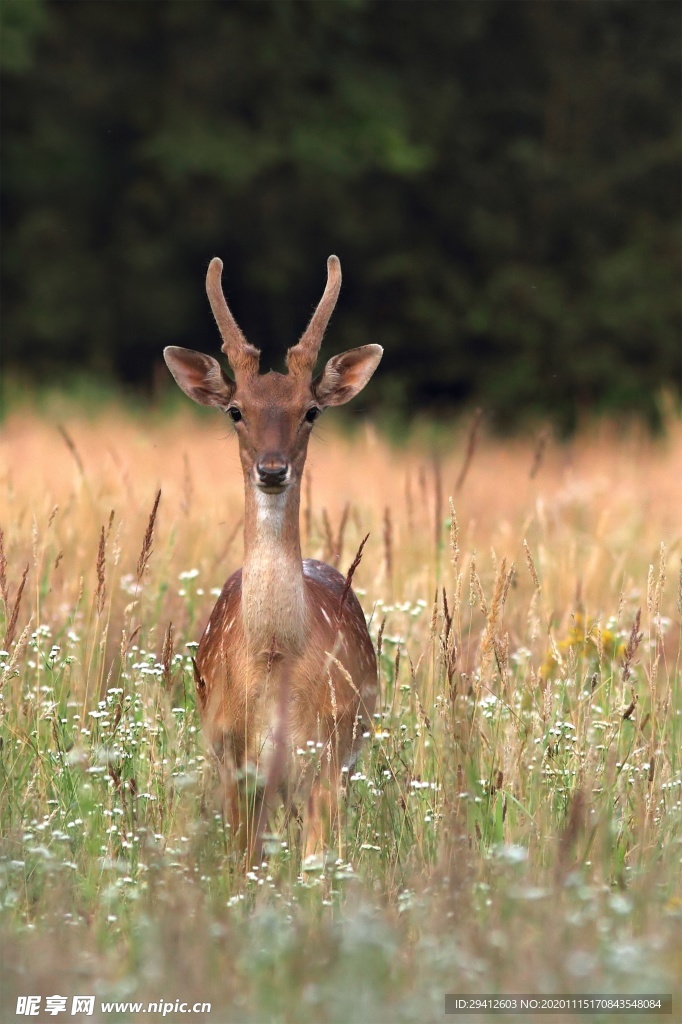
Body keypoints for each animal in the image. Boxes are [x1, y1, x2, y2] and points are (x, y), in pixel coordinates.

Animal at [161, 253, 378, 864]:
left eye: (311, 411)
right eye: (236, 410)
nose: (273, 468)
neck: (275, 655)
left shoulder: (328, 755)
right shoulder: (231, 757)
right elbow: (243, 865)